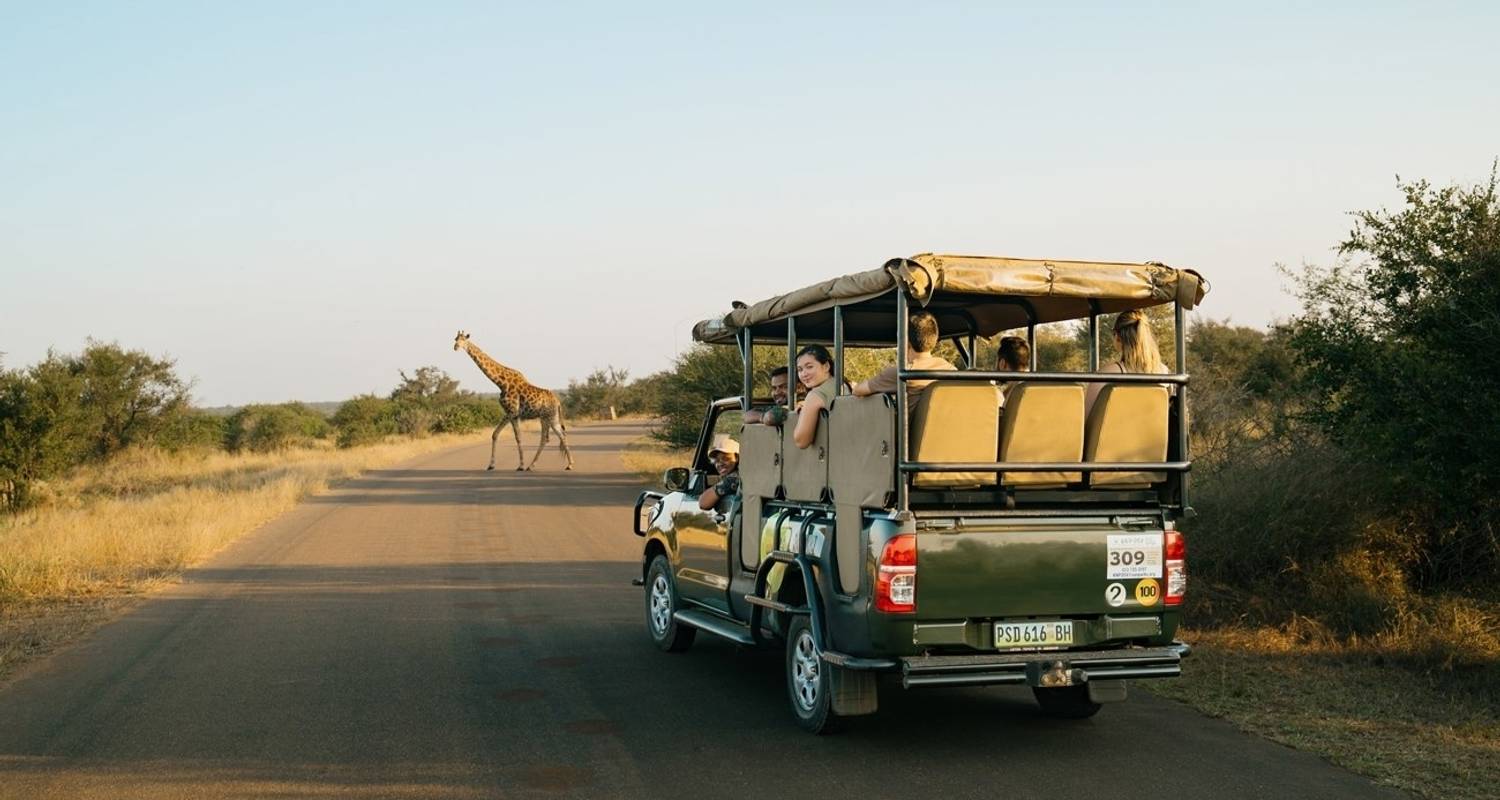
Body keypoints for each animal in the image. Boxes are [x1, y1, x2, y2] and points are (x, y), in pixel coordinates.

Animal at [450, 331, 573, 474]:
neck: (500, 383)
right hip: (546, 418)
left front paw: (520, 466)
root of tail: (558, 402)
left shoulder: (512, 412)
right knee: (547, 438)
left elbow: (517, 437)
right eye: (455, 339)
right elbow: (495, 434)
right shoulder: (509, 413)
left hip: (550, 417)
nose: (455, 347)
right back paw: (532, 466)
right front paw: (491, 465)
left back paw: (569, 465)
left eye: (463, 340)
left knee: (560, 435)